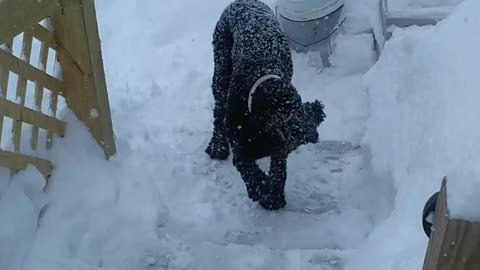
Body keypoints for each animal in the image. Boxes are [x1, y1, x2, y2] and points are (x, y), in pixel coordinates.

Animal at [206, 0, 326, 211]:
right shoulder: (238, 135)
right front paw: (260, 187)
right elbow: (246, 165)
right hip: (221, 69)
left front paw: (274, 195)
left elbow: (278, 166)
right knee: (218, 111)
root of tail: (244, 2)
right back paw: (217, 146)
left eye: (288, 145)